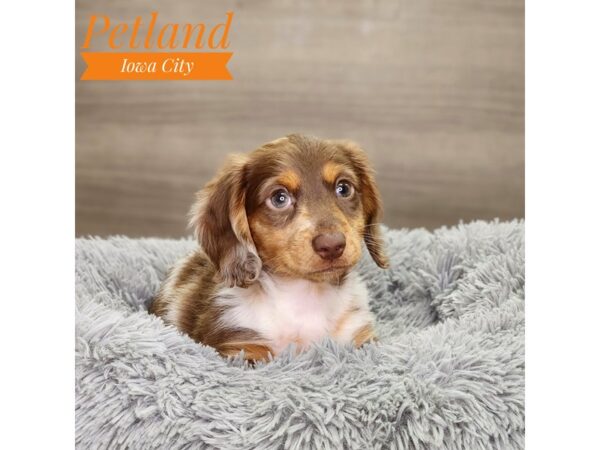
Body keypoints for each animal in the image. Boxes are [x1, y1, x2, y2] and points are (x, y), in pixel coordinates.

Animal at [148, 134, 386, 362]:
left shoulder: (361, 339)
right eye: (279, 198)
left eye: (344, 188)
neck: (304, 298)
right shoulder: (241, 347)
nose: (332, 245)